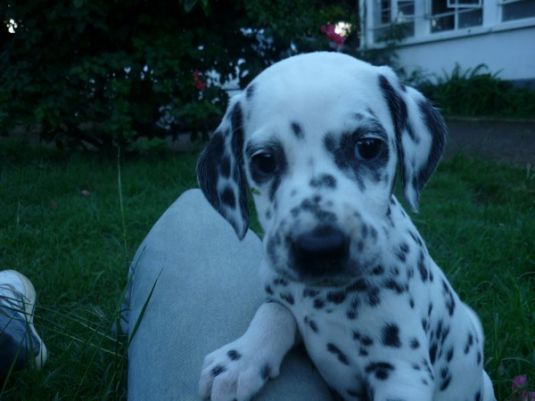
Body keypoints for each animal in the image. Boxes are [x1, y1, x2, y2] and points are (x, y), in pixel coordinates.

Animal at [197, 51, 498, 400]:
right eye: (263, 160)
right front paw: (240, 360)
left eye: (368, 146)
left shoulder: (402, 372)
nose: (320, 247)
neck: (323, 299)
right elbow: (275, 312)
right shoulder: (284, 301)